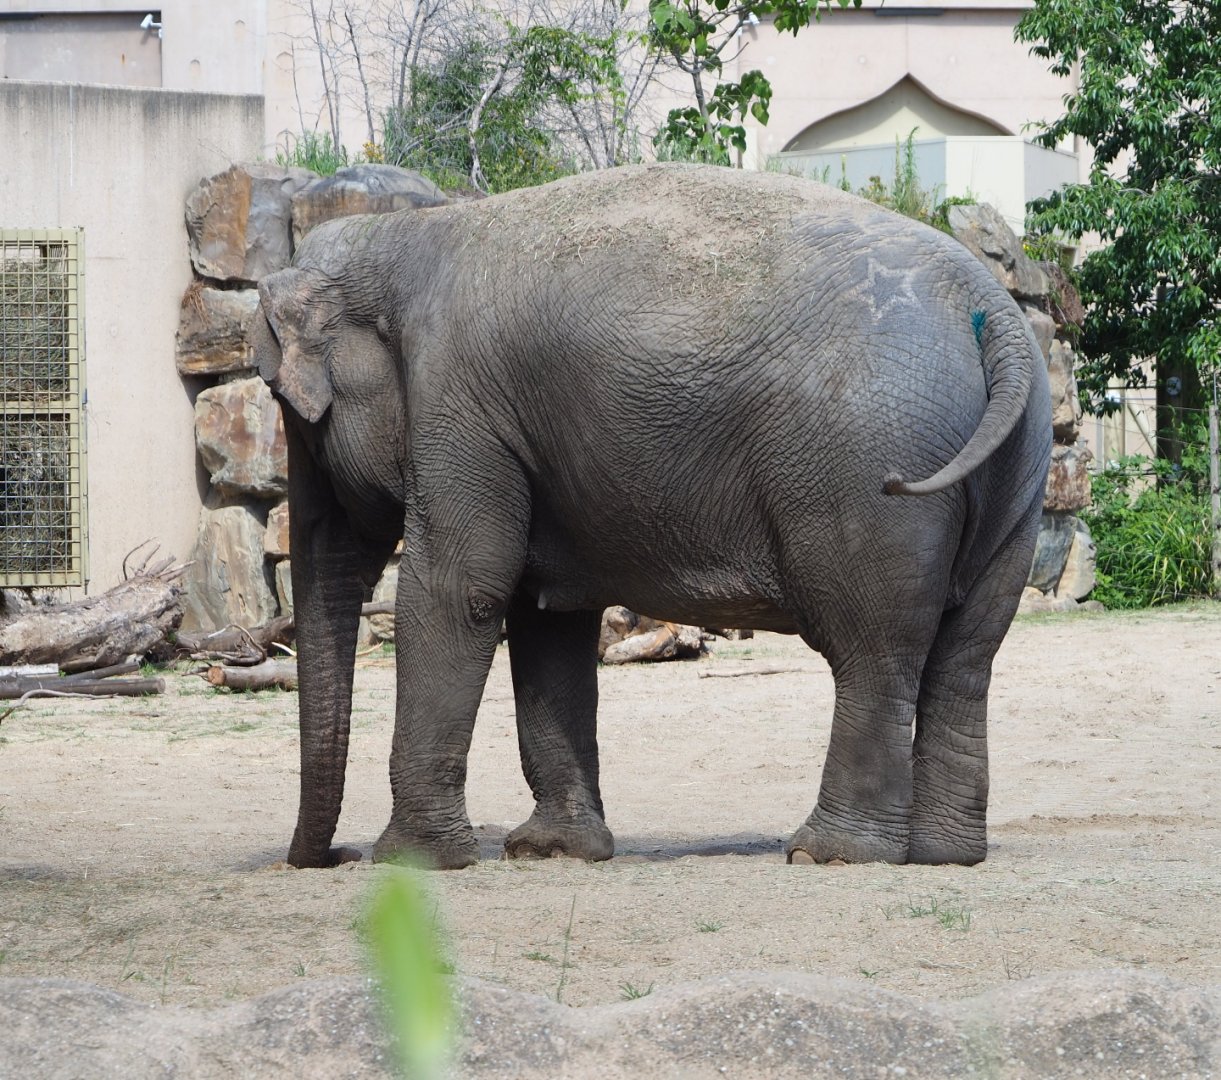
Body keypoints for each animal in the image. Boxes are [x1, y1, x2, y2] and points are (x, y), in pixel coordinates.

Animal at [252, 162, 1051, 871]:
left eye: (294, 415)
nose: (331, 856)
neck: (402, 233)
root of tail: (990, 311)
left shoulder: (459, 410)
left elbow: (460, 592)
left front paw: (410, 864)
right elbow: (545, 621)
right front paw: (553, 853)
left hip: (865, 472)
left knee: (873, 648)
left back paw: (828, 854)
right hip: (1019, 470)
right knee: (966, 654)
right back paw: (945, 856)